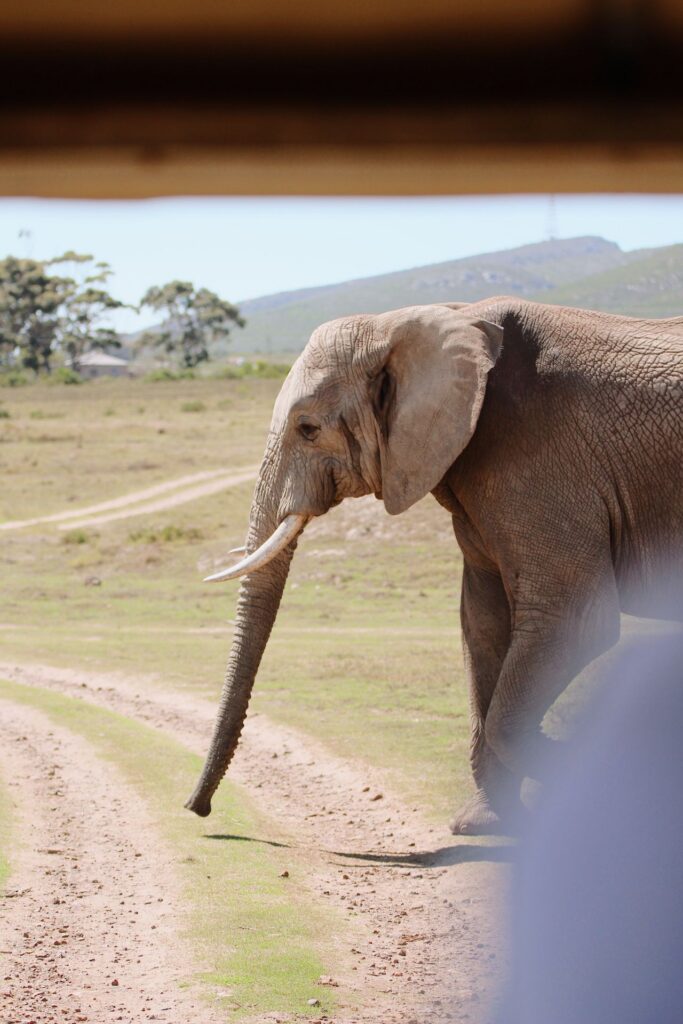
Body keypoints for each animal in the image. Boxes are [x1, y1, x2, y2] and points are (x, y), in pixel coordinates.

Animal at [185, 297, 683, 834]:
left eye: (308, 429)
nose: (198, 809)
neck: (414, 321)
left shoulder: (544, 458)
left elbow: (575, 622)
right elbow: (482, 624)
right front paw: (480, 824)